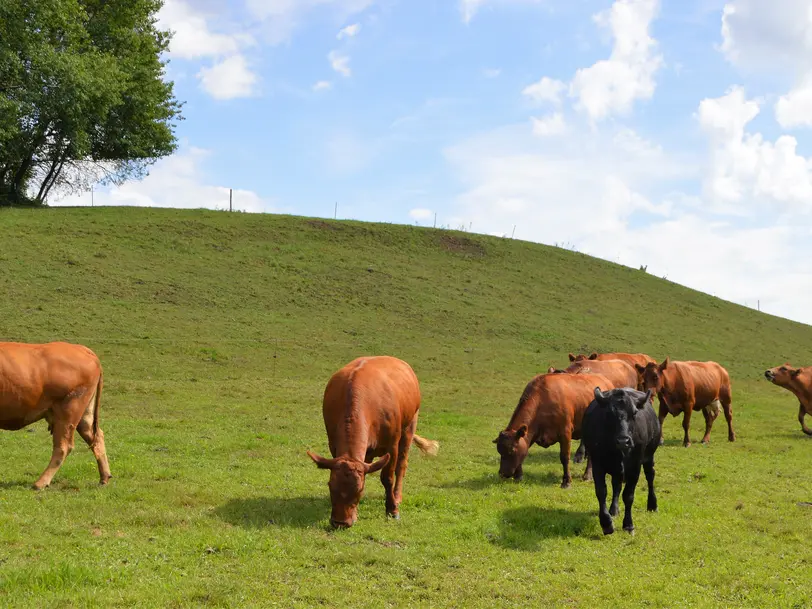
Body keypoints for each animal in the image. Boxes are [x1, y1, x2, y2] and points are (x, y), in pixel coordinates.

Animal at [0, 342, 112, 490]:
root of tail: (81, 348)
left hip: (68, 412)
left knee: (63, 446)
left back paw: (40, 483)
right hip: (84, 414)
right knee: (96, 437)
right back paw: (104, 477)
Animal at [306, 356, 438, 528]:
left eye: (359, 490)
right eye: (330, 486)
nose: (340, 522)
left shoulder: (392, 446)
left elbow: (387, 478)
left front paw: (392, 509)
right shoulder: (333, 446)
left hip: (410, 425)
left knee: (401, 465)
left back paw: (397, 496)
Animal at [584, 388, 660, 536]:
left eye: (634, 413)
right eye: (609, 413)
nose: (623, 441)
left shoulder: (635, 467)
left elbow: (628, 495)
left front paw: (628, 525)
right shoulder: (597, 464)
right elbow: (601, 492)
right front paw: (606, 523)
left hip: (649, 457)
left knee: (650, 477)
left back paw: (652, 504)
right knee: (616, 485)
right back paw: (613, 510)